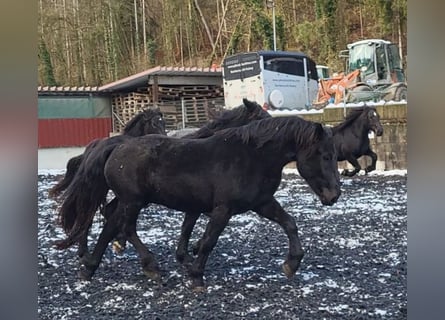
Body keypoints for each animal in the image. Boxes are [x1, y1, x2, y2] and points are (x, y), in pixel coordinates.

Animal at [56, 115, 340, 290]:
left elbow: (289, 223)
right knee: (118, 226)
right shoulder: (222, 209)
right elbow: (207, 241)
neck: (252, 157)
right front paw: (196, 278)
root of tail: (115, 147)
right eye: (325, 156)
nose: (334, 195)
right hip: (133, 201)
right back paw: (131, 267)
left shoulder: (262, 203)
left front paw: (292, 264)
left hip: (132, 201)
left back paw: (104, 268)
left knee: (115, 225)